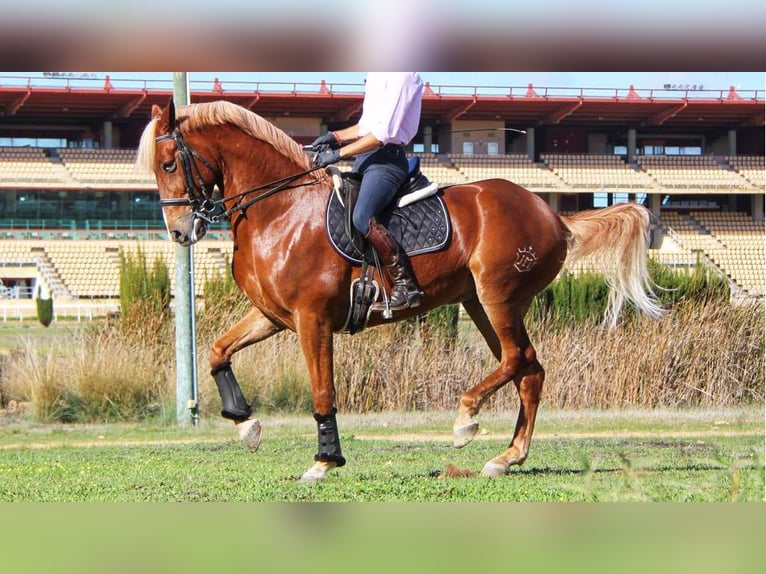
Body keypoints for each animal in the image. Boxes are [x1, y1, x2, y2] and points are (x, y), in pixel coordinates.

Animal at [140, 99, 664, 482]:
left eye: (168, 163)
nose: (180, 232)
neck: (281, 208)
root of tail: (553, 214)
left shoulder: (313, 319)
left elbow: (323, 390)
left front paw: (324, 460)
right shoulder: (273, 315)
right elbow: (217, 350)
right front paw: (245, 422)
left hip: (499, 296)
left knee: (518, 360)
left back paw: (466, 419)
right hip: (480, 304)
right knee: (528, 370)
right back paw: (506, 457)